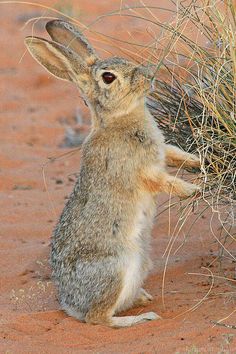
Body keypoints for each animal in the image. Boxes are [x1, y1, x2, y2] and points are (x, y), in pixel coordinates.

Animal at [24, 19, 200, 328]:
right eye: (108, 78)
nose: (148, 75)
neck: (118, 119)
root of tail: (70, 305)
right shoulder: (138, 170)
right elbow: (163, 181)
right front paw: (193, 190)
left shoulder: (162, 152)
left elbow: (175, 154)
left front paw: (198, 163)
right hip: (116, 270)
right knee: (98, 319)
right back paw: (140, 318)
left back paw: (141, 299)